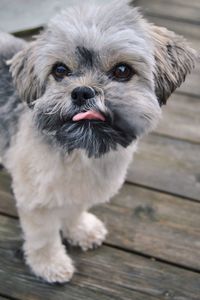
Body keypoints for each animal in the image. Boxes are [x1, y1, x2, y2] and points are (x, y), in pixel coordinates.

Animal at [0, 0, 197, 284]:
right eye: (60, 70)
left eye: (122, 71)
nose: (82, 92)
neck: (80, 151)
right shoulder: (36, 198)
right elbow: (43, 236)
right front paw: (49, 263)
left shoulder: (79, 187)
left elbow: (74, 207)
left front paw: (80, 229)